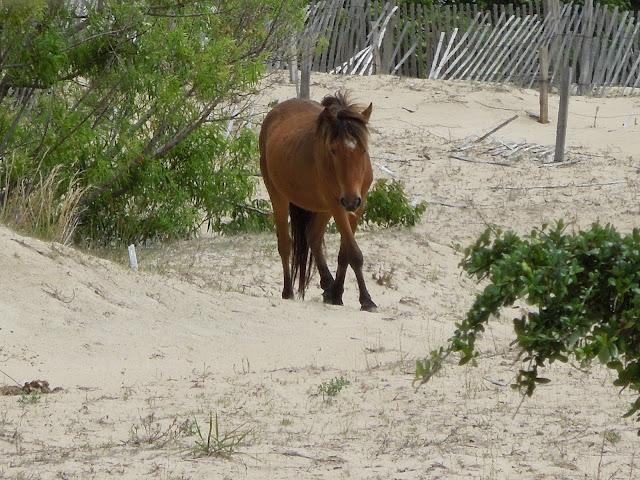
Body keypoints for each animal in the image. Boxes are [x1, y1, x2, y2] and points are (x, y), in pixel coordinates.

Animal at [260, 93, 378, 312]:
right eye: (333, 150)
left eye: (363, 150)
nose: (350, 199)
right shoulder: (338, 206)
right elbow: (354, 253)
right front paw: (366, 300)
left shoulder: (357, 206)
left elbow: (345, 253)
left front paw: (338, 294)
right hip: (279, 196)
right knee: (285, 244)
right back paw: (288, 290)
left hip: (324, 208)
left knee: (313, 236)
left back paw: (329, 286)